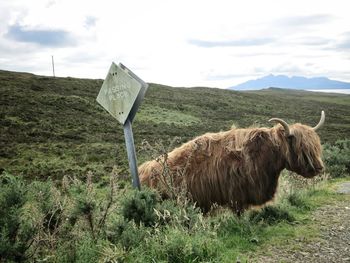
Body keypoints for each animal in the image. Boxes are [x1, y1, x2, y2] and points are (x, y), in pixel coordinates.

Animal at [139, 111, 326, 214]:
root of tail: (142, 170)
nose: (319, 168)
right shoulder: (236, 195)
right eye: (302, 148)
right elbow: (239, 214)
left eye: (316, 146)